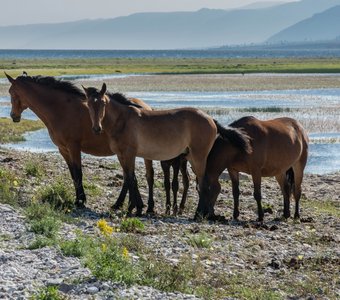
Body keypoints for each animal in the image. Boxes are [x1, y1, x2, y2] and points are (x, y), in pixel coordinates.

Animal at [4, 71, 157, 210]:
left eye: (11, 92)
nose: (13, 115)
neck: (61, 109)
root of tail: (146, 107)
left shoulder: (74, 147)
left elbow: (78, 173)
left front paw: (80, 201)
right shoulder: (63, 149)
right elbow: (73, 174)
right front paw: (78, 198)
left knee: (140, 176)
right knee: (129, 177)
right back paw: (122, 204)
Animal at [82, 83, 251, 217]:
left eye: (103, 103)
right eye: (89, 104)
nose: (96, 128)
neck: (122, 120)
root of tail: (210, 119)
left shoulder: (129, 154)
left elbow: (130, 179)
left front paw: (136, 208)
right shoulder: (122, 156)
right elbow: (131, 179)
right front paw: (135, 207)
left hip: (198, 157)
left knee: (203, 183)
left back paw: (198, 214)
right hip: (192, 158)